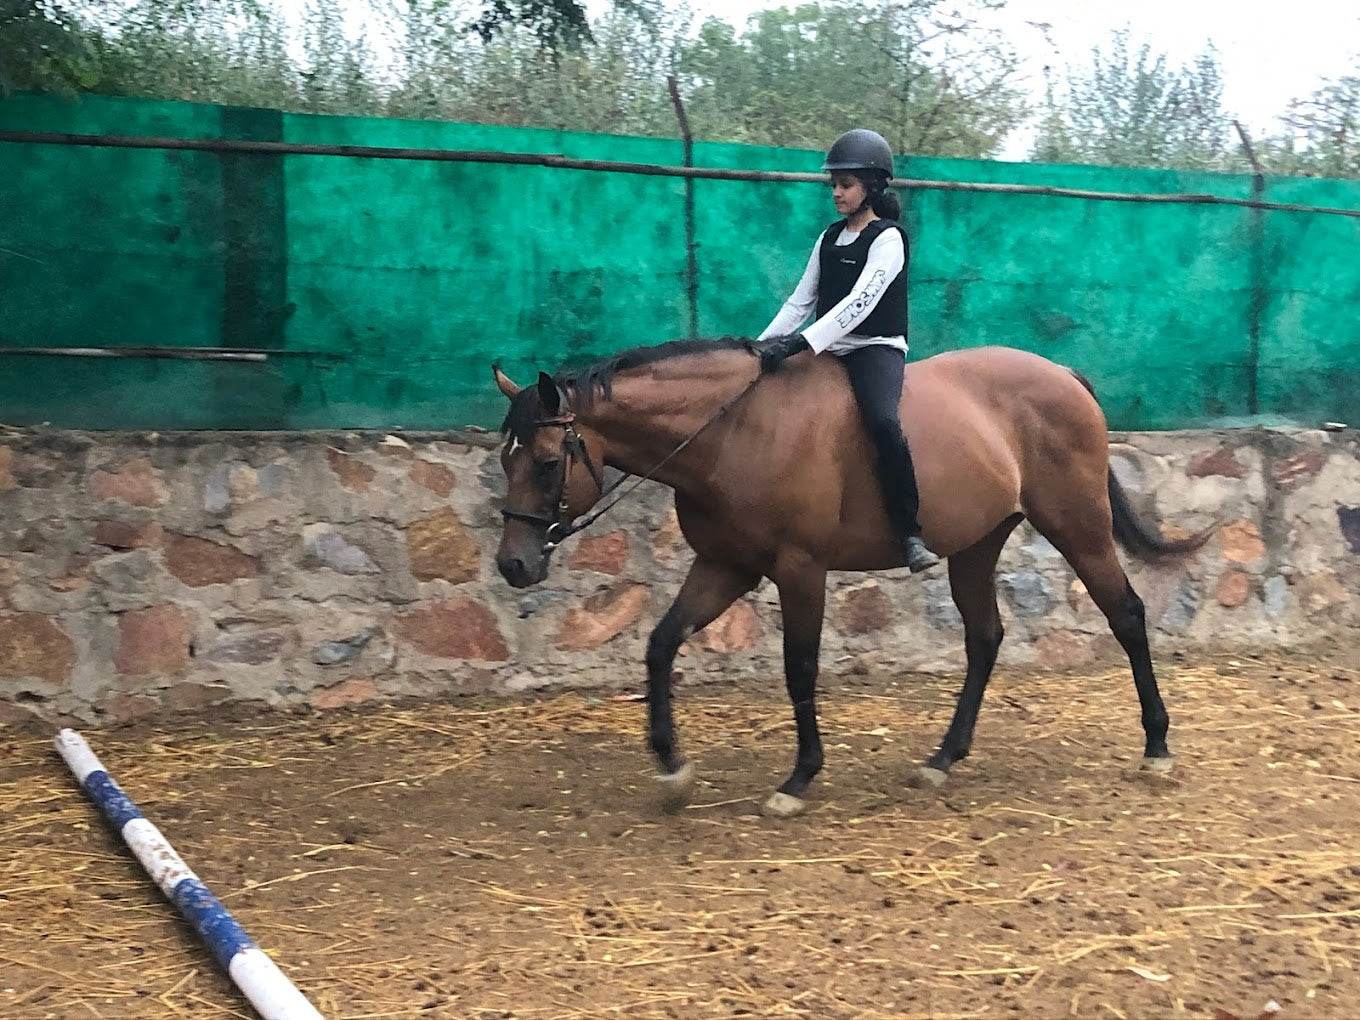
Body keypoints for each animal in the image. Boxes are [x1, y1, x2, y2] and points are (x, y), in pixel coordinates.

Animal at [491, 339, 1205, 818]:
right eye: (505, 460)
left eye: (548, 462)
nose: (513, 565)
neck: (731, 432)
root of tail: (1063, 375)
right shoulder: (725, 566)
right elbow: (661, 643)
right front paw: (672, 767)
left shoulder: (800, 569)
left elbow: (800, 668)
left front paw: (798, 779)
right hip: (977, 545)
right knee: (985, 638)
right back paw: (942, 761)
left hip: (1078, 525)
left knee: (1126, 614)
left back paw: (1157, 748)